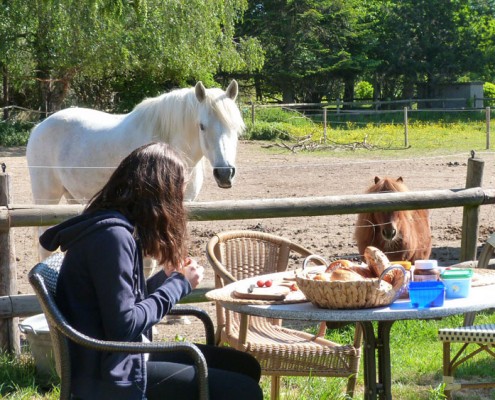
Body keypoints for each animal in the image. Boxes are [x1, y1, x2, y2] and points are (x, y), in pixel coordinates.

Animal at [27, 81, 244, 260]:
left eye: (236, 128)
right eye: (202, 126)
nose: (224, 173)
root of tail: (40, 126)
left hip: (71, 197)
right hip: (47, 199)